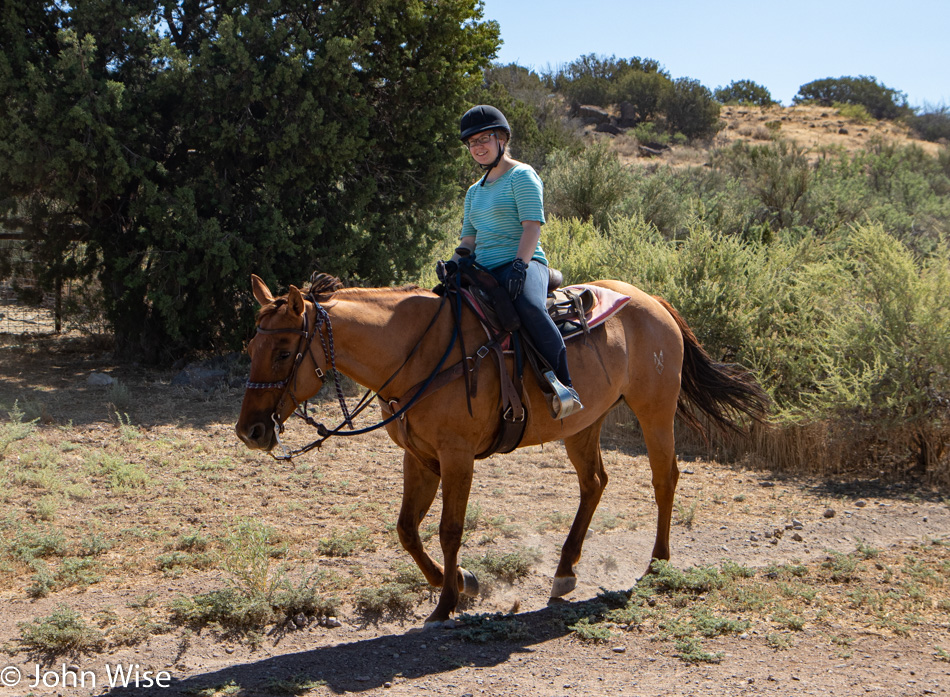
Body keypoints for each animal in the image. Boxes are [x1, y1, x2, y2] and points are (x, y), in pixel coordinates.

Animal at [238, 274, 772, 624]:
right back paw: (564, 571)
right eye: (250, 348)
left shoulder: (456, 457)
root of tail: (653, 301)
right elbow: (407, 530)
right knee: (594, 482)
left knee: (664, 477)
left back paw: (657, 562)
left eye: (284, 352)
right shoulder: (419, 457)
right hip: (583, 424)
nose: (250, 431)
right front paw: (459, 582)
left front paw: (446, 603)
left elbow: (449, 530)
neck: (422, 354)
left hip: (654, 410)